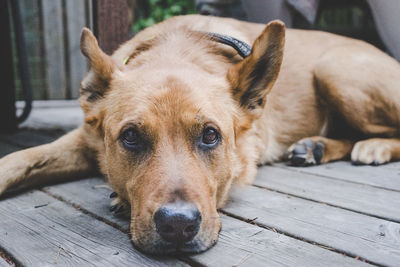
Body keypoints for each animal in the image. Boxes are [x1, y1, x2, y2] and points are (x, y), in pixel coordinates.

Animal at [0, 15, 400, 255]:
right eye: (130, 137)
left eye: (210, 135)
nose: (177, 226)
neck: (177, 49)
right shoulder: (85, 140)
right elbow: (18, 159)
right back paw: (315, 146)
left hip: (337, 71)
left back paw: (372, 145)